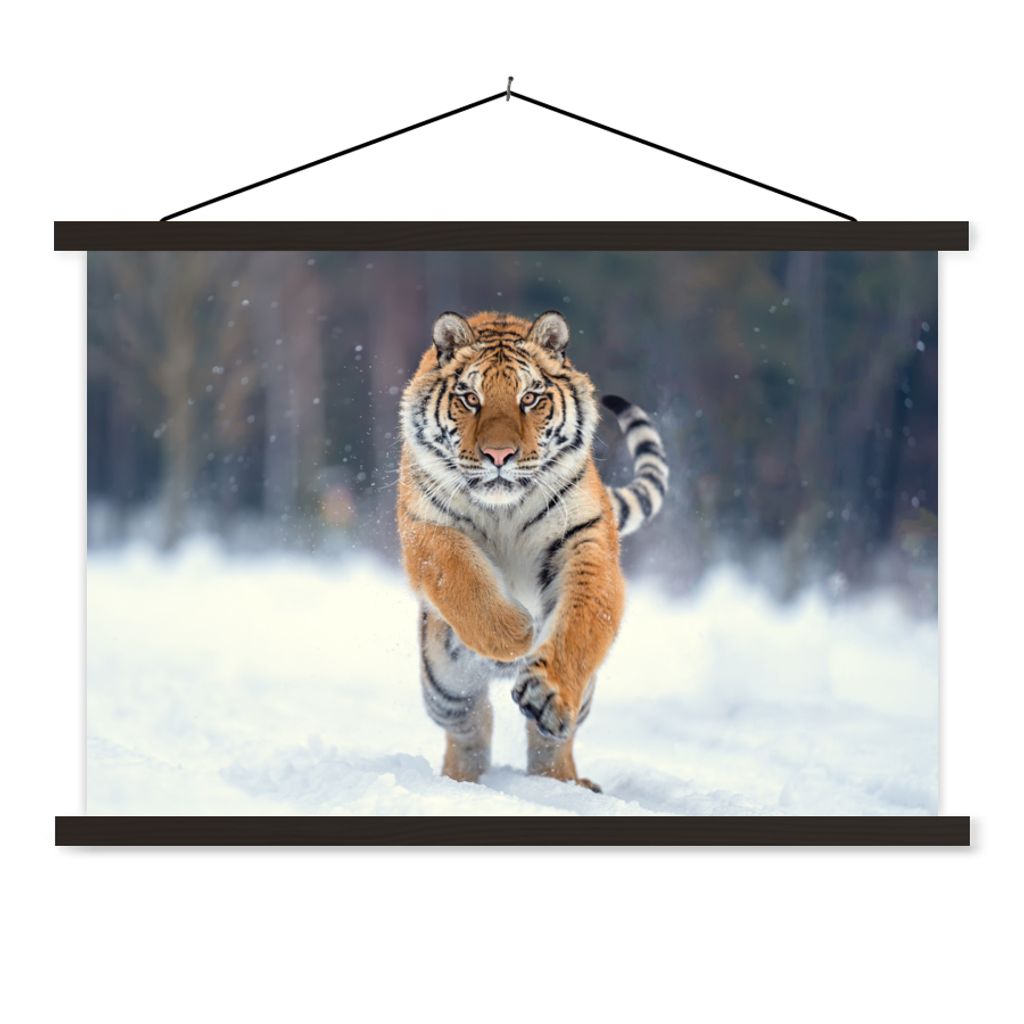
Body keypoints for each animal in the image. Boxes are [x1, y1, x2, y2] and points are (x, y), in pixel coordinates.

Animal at [397, 310, 668, 791]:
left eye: (530, 398)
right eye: (470, 398)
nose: (499, 455)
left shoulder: (585, 539)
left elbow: (581, 622)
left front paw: (547, 691)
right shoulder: (426, 528)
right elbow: (462, 579)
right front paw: (516, 633)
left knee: (550, 741)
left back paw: (564, 783)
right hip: (444, 685)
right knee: (471, 726)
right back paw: (460, 781)